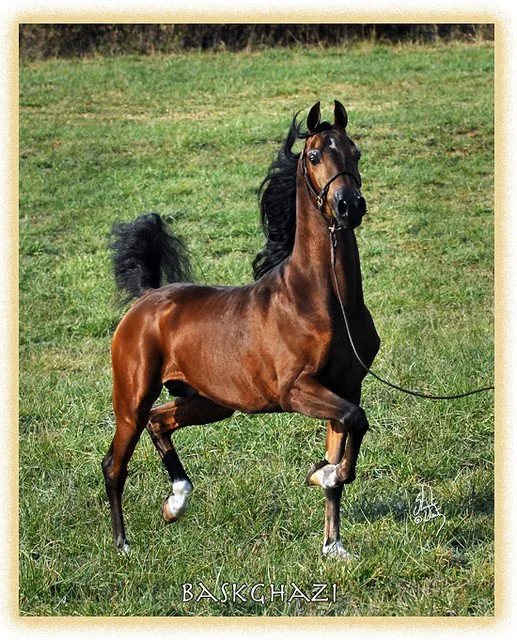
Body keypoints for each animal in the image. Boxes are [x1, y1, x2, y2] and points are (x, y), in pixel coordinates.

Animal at [102, 100, 380, 559]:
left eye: (355, 152)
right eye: (314, 156)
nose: (348, 206)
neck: (323, 302)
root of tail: (147, 297)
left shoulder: (346, 387)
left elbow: (349, 441)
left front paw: (333, 545)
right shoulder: (295, 390)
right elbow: (354, 427)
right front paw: (321, 473)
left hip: (209, 402)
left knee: (160, 423)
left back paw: (176, 501)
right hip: (132, 400)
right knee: (115, 463)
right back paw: (123, 544)